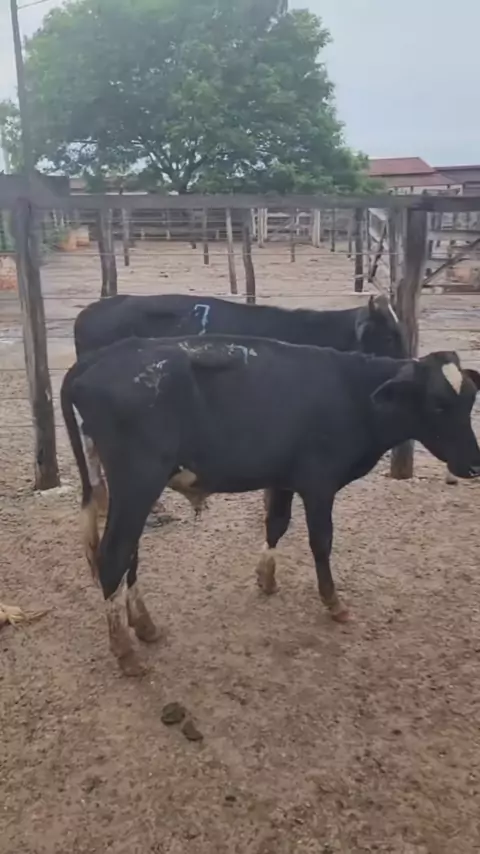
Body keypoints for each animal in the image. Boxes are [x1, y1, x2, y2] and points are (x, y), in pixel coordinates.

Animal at [61, 335, 480, 676]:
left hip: (129, 489)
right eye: (438, 405)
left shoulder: (282, 477)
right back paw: (125, 651)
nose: (474, 464)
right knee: (114, 557)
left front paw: (266, 578)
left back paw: (144, 625)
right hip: (138, 483)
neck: (354, 394)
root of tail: (97, 358)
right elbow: (321, 542)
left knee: (128, 554)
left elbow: (276, 523)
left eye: (471, 399)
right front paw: (333, 602)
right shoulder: (319, 483)